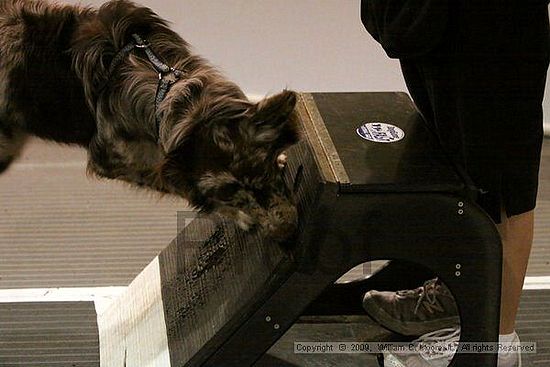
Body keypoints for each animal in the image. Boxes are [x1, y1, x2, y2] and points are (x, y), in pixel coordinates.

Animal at [0, 0, 302, 239]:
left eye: (264, 173)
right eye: (227, 191)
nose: (285, 232)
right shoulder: (113, 160)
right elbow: (173, 180)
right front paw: (237, 215)